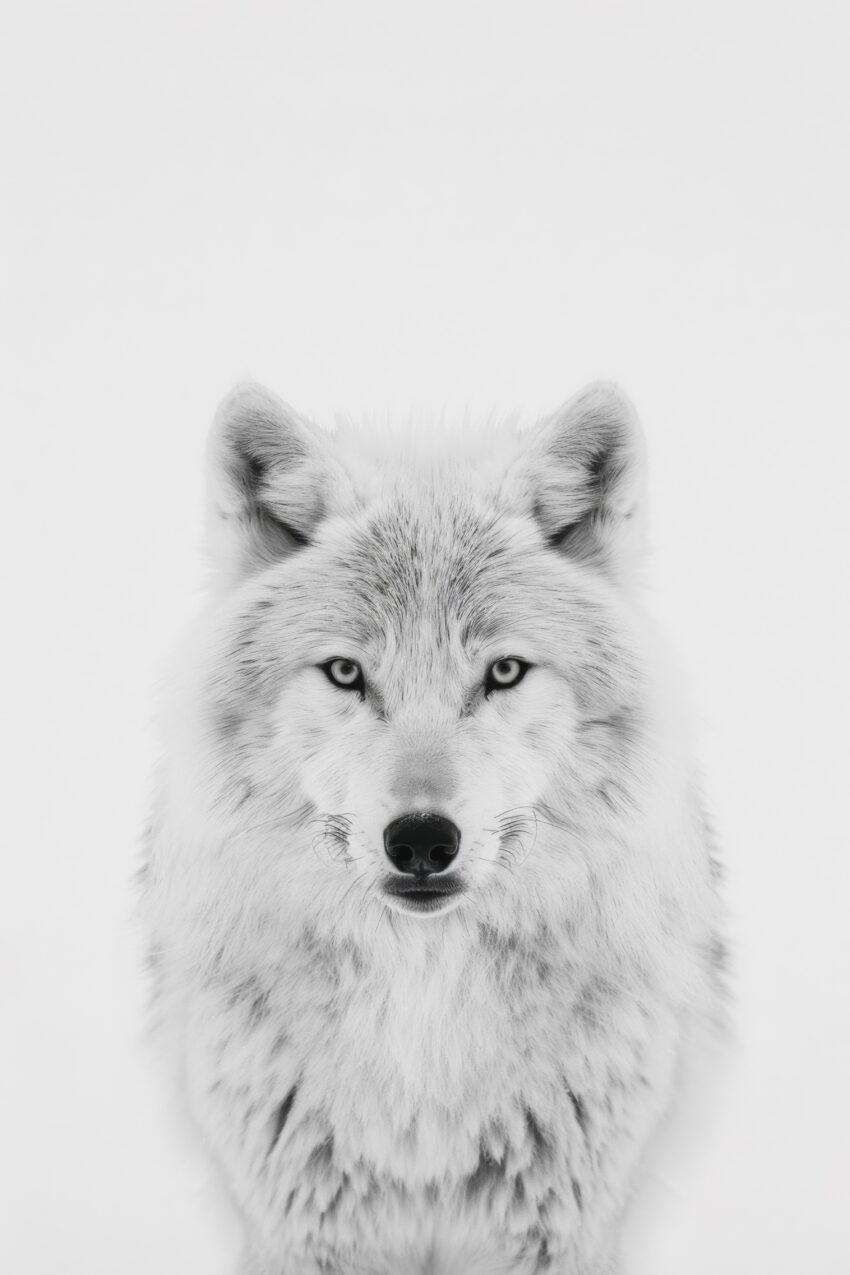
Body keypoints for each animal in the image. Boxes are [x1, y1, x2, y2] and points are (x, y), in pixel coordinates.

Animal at [142, 381, 724, 1275]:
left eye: (504, 671)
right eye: (347, 672)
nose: (420, 839)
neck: (422, 1000)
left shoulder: (559, 1227)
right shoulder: (303, 1224)